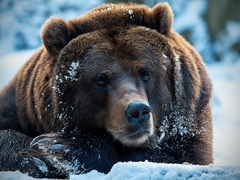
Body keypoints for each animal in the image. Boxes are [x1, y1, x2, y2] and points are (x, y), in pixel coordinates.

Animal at [0, 2, 213, 179]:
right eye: (100, 79)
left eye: (145, 73)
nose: (137, 111)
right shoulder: (23, 105)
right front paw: (37, 155)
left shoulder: (193, 114)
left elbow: (180, 156)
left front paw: (60, 146)